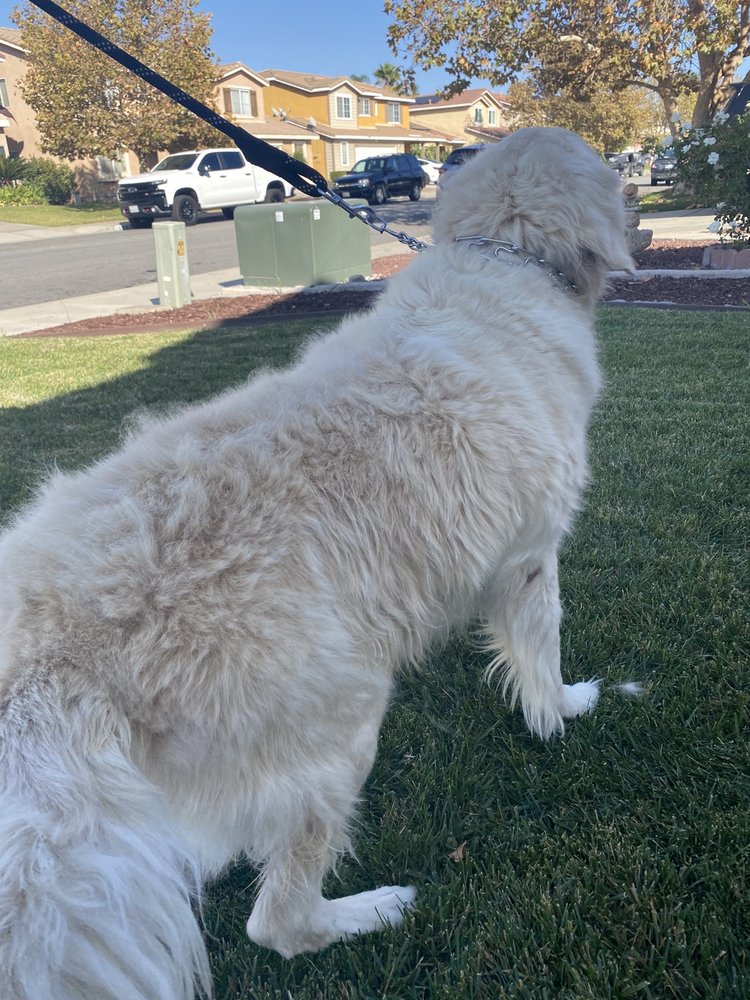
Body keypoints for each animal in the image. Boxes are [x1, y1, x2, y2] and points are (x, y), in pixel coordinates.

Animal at [0, 128, 632, 999]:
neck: (505, 255)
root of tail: (47, 651)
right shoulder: (533, 558)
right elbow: (542, 657)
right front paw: (564, 710)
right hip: (340, 720)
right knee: (276, 922)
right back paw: (372, 910)